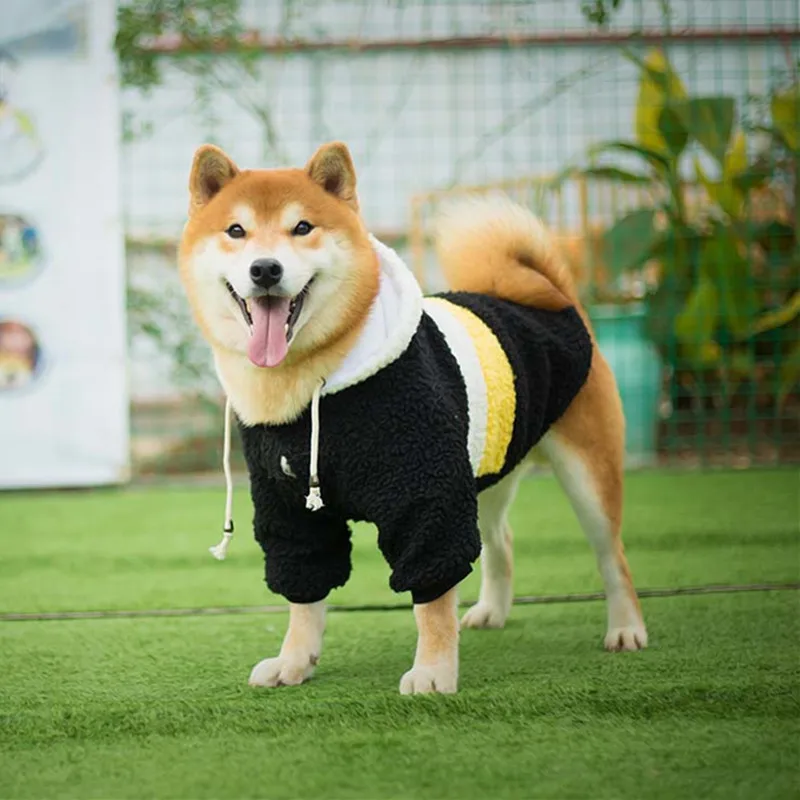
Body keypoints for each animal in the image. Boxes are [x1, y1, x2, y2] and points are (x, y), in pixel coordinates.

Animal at [178, 142, 648, 692]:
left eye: (302, 227)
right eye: (236, 231)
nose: (265, 269)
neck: (312, 386)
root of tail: (558, 297)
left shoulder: (426, 495)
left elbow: (433, 597)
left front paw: (434, 670)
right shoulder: (292, 508)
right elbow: (304, 596)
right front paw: (294, 660)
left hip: (584, 472)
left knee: (612, 555)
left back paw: (625, 628)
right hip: (486, 470)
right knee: (501, 542)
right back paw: (492, 611)